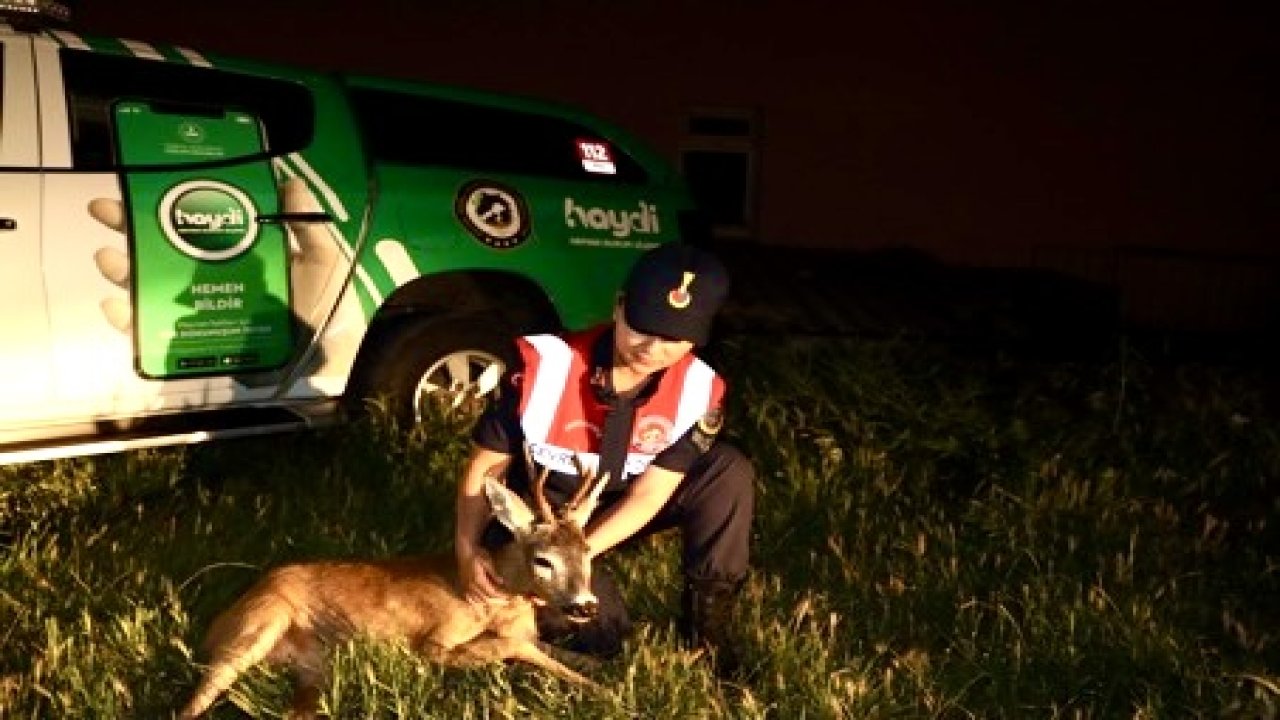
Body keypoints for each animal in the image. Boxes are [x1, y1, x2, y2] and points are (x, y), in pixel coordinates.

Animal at [177, 453, 611, 717]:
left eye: (587, 550)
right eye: (543, 559)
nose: (587, 605)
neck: (498, 604)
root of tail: (215, 624)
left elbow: (568, 654)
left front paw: (604, 675)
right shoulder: (431, 643)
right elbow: (509, 647)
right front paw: (602, 689)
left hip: (314, 669)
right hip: (260, 624)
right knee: (199, 695)